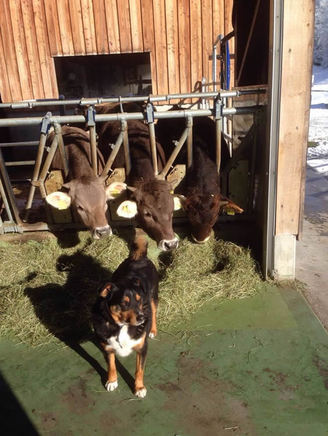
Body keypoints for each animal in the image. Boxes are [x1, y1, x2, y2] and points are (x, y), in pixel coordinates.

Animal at [92, 233, 159, 396]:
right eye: (124, 303)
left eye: (139, 300)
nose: (141, 318)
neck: (121, 327)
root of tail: (138, 257)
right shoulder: (107, 348)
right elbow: (111, 366)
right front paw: (112, 381)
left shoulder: (142, 348)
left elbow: (139, 370)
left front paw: (139, 388)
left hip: (153, 297)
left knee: (154, 312)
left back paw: (153, 330)